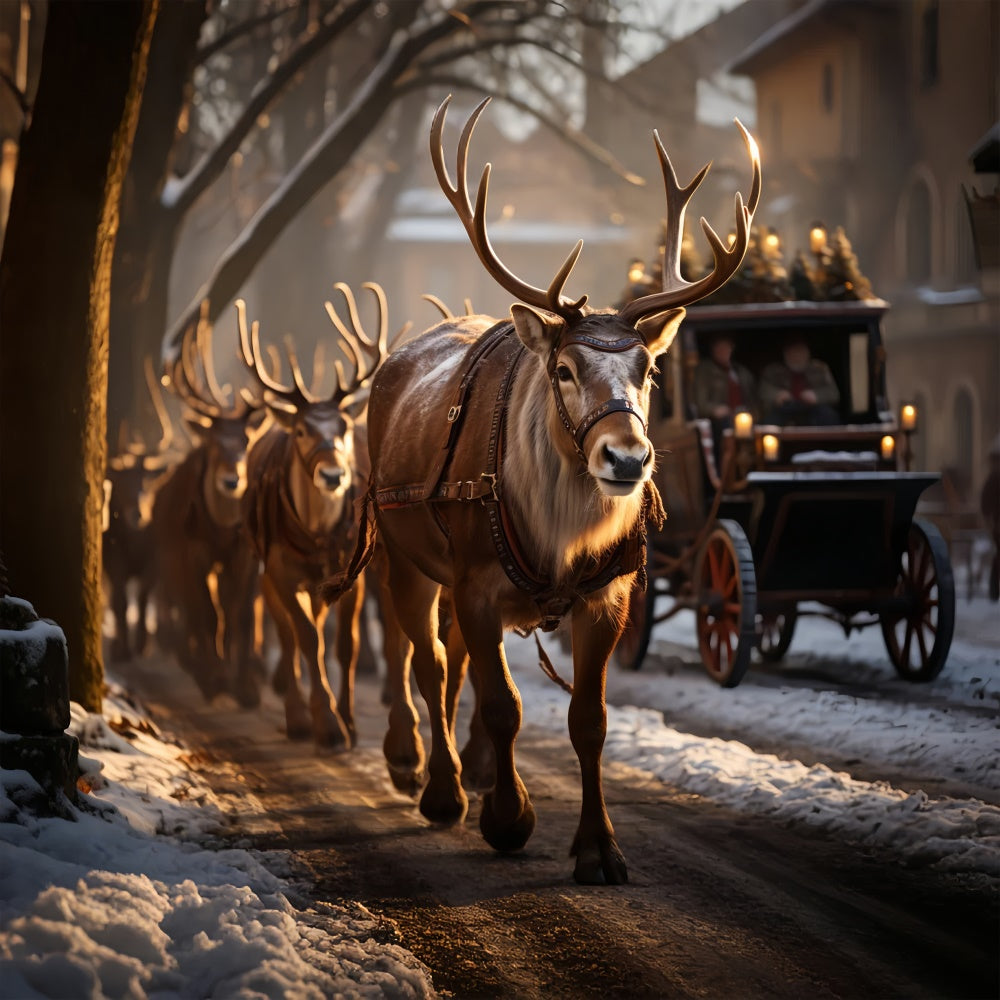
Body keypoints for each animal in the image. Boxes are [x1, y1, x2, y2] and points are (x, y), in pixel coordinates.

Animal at [151, 309, 264, 708]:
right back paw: (198, 668)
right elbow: (208, 612)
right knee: (189, 607)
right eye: (214, 442)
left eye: (247, 440)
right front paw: (215, 680)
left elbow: (238, 613)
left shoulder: (245, 552)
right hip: (170, 552)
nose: (232, 480)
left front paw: (246, 688)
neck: (222, 529)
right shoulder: (194, 550)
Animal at [238, 284, 401, 749]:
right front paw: (324, 724)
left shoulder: (351, 573)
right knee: (288, 634)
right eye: (301, 430)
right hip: (267, 566)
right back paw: (296, 716)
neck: (316, 535)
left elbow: (345, 644)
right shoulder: (279, 568)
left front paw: (347, 721)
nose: (333, 474)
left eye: (344, 426)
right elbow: (307, 639)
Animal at [326, 95, 760, 884]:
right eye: (564, 368)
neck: (557, 538)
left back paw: (468, 769)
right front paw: (507, 817)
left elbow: (588, 721)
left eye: (649, 369)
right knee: (429, 664)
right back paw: (437, 785)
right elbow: (502, 704)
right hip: (405, 557)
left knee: (454, 664)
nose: (627, 457)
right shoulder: (473, 579)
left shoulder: (608, 594)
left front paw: (599, 847)